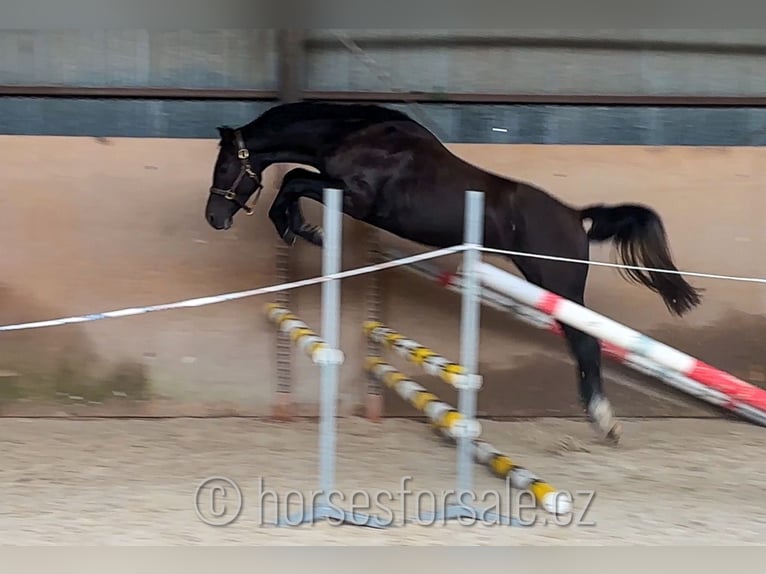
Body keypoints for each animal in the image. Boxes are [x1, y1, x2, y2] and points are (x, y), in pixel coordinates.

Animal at [202, 100, 704, 446]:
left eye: (225, 165)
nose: (213, 217)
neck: (359, 136)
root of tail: (575, 216)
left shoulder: (355, 198)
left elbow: (294, 182)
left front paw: (301, 228)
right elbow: (294, 181)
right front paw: (299, 228)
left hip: (557, 285)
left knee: (585, 341)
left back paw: (604, 420)